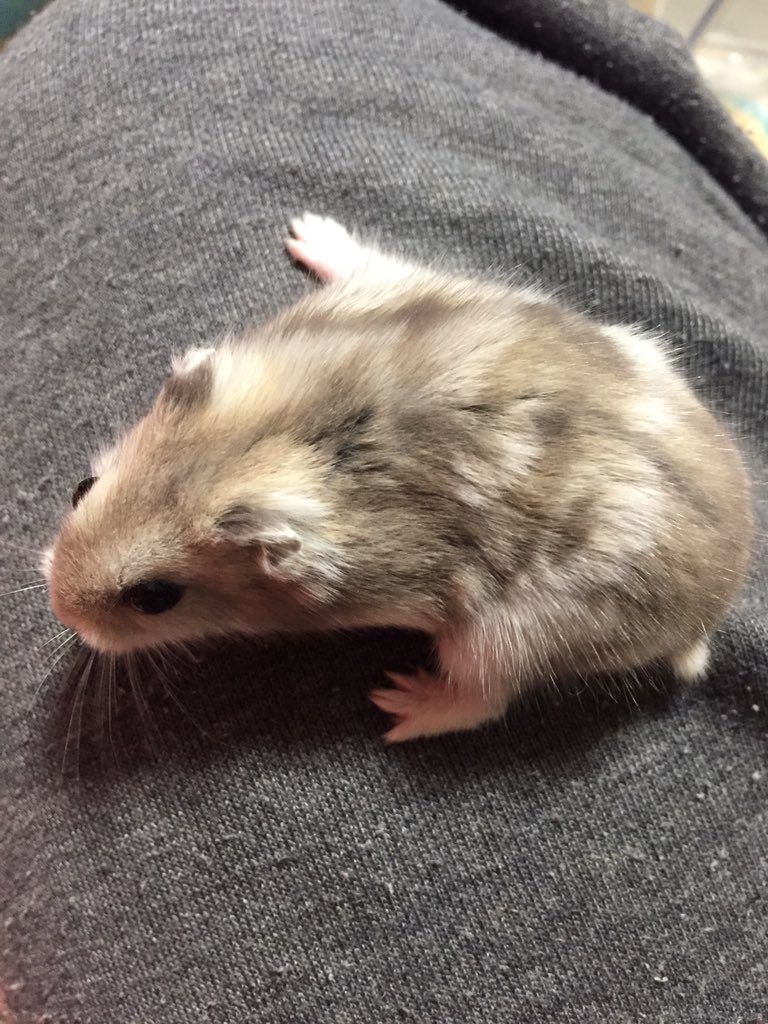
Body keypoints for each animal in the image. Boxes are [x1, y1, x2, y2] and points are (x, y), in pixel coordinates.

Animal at [43, 212, 753, 742]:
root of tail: (709, 611)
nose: (60, 609)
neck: (280, 439)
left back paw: (398, 702)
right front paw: (305, 229)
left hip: (502, 638)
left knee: (484, 701)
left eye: (154, 597)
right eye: (81, 489)